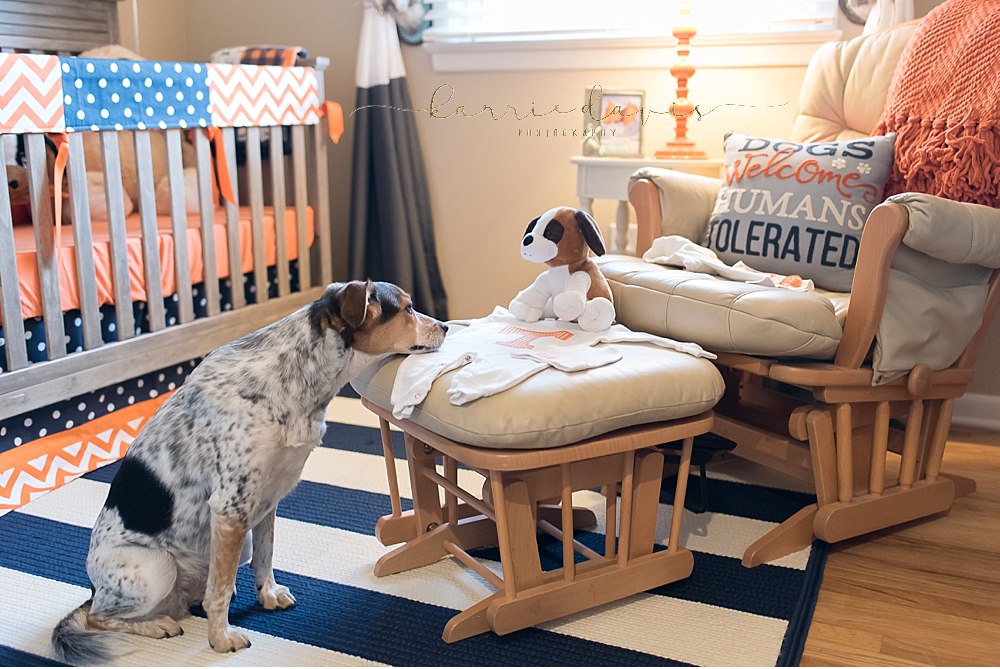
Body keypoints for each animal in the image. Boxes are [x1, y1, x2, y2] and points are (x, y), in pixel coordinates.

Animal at [49, 280, 450, 660]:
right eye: (408, 308)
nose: (446, 326)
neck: (296, 380)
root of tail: (92, 589)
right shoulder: (232, 507)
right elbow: (221, 589)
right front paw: (220, 638)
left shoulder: (266, 500)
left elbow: (265, 556)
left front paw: (267, 596)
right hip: (156, 567)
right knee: (100, 617)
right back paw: (158, 624)